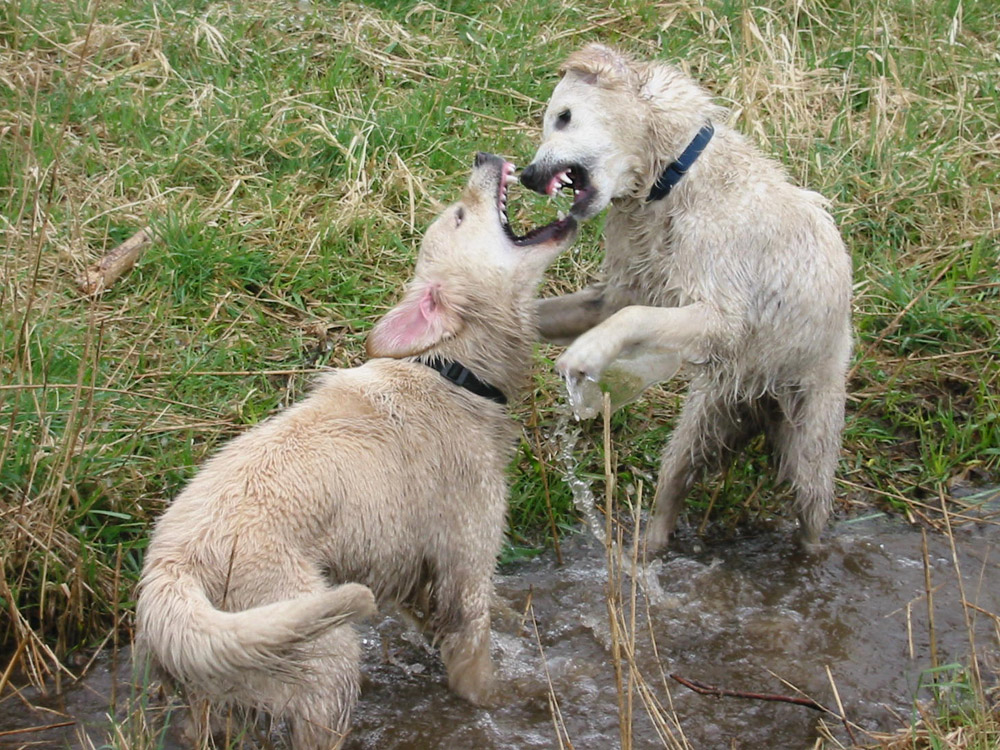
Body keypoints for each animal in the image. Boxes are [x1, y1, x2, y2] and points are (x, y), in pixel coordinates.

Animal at [139, 154, 580, 750]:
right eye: (461, 214)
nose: (483, 159)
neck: (450, 372)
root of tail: (170, 572)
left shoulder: (417, 578)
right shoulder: (466, 560)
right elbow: (476, 667)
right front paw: (516, 700)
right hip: (326, 654)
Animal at [520, 45, 856, 552]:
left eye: (563, 116)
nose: (526, 175)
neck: (672, 182)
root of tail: (761, 401)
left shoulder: (723, 315)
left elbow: (635, 316)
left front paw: (586, 353)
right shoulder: (614, 292)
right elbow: (575, 310)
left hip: (809, 439)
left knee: (812, 512)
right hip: (703, 422)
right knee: (673, 485)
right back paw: (648, 550)